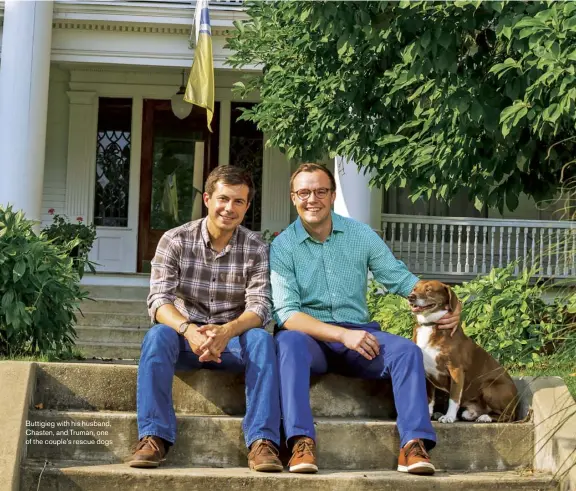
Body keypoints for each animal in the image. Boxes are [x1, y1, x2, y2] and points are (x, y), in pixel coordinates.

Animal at [408, 280, 520, 422]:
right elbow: (428, 397)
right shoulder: (425, 371)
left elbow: (454, 398)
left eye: (429, 290)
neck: (430, 325)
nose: (410, 297)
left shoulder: (456, 370)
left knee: (509, 416)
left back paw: (485, 417)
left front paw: (449, 417)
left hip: (490, 386)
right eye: (414, 289)